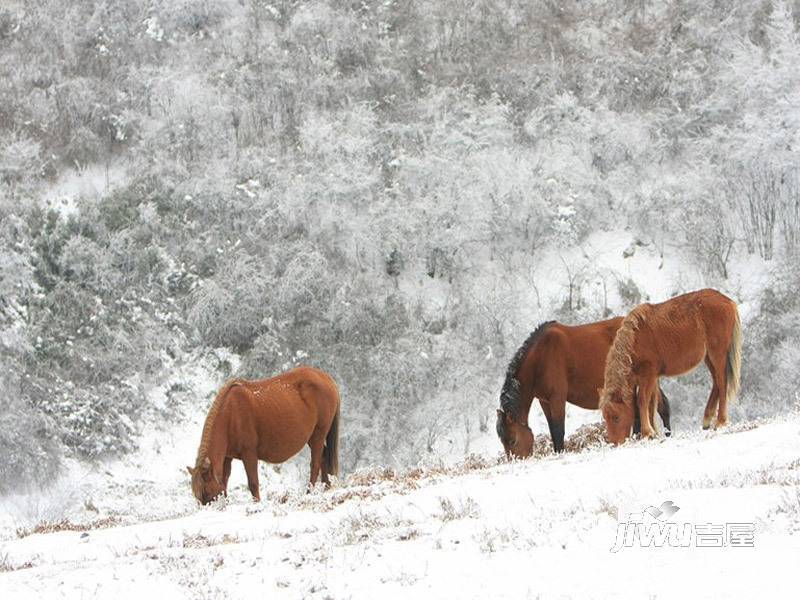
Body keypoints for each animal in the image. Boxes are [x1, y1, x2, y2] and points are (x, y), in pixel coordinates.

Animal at [187, 366, 340, 502]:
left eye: (207, 493)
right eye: (198, 497)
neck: (230, 414)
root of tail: (327, 378)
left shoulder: (249, 454)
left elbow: (253, 483)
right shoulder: (227, 457)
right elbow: (224, 481)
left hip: (318, 434)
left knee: (315, 463)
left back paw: (309, 492)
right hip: (312, 437)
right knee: (323, 457)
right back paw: (326, 486)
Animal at [496, 316, 672, 458]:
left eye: (513, 440)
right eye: (503, 442)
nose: (516, 461)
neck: (541, 357)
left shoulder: (557, 398)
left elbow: (558, 429)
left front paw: (560, 452)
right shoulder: (544, 401)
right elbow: (552, 428)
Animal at [600, 290, 744, 446]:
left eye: (616, 417)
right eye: (605, 417)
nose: (614, 443)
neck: (634, 340)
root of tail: (728, 301)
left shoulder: (648, 376)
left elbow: (642, 401)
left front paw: (647, 432)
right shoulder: (649, 379)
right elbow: (650, 405)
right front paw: (650, 433)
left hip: (718, 353)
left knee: (722, 383)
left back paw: (720, 421)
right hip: (708, 357)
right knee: (717, 382)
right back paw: (707, 419)